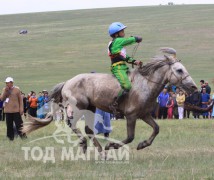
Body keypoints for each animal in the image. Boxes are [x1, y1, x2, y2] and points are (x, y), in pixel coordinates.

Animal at [22, 47, 197, 155]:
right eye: (179, 70)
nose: (194, 87)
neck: (145, 85)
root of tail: (67, 82)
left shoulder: (145, 115)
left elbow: (156, 129)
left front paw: (142, 145)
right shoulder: (131, 116)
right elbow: (130, 137)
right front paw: (112, 145)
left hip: (91, 109)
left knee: (89, 130)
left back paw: (100, 152)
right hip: (79, 108)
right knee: (72, 124)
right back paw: (85, 144)